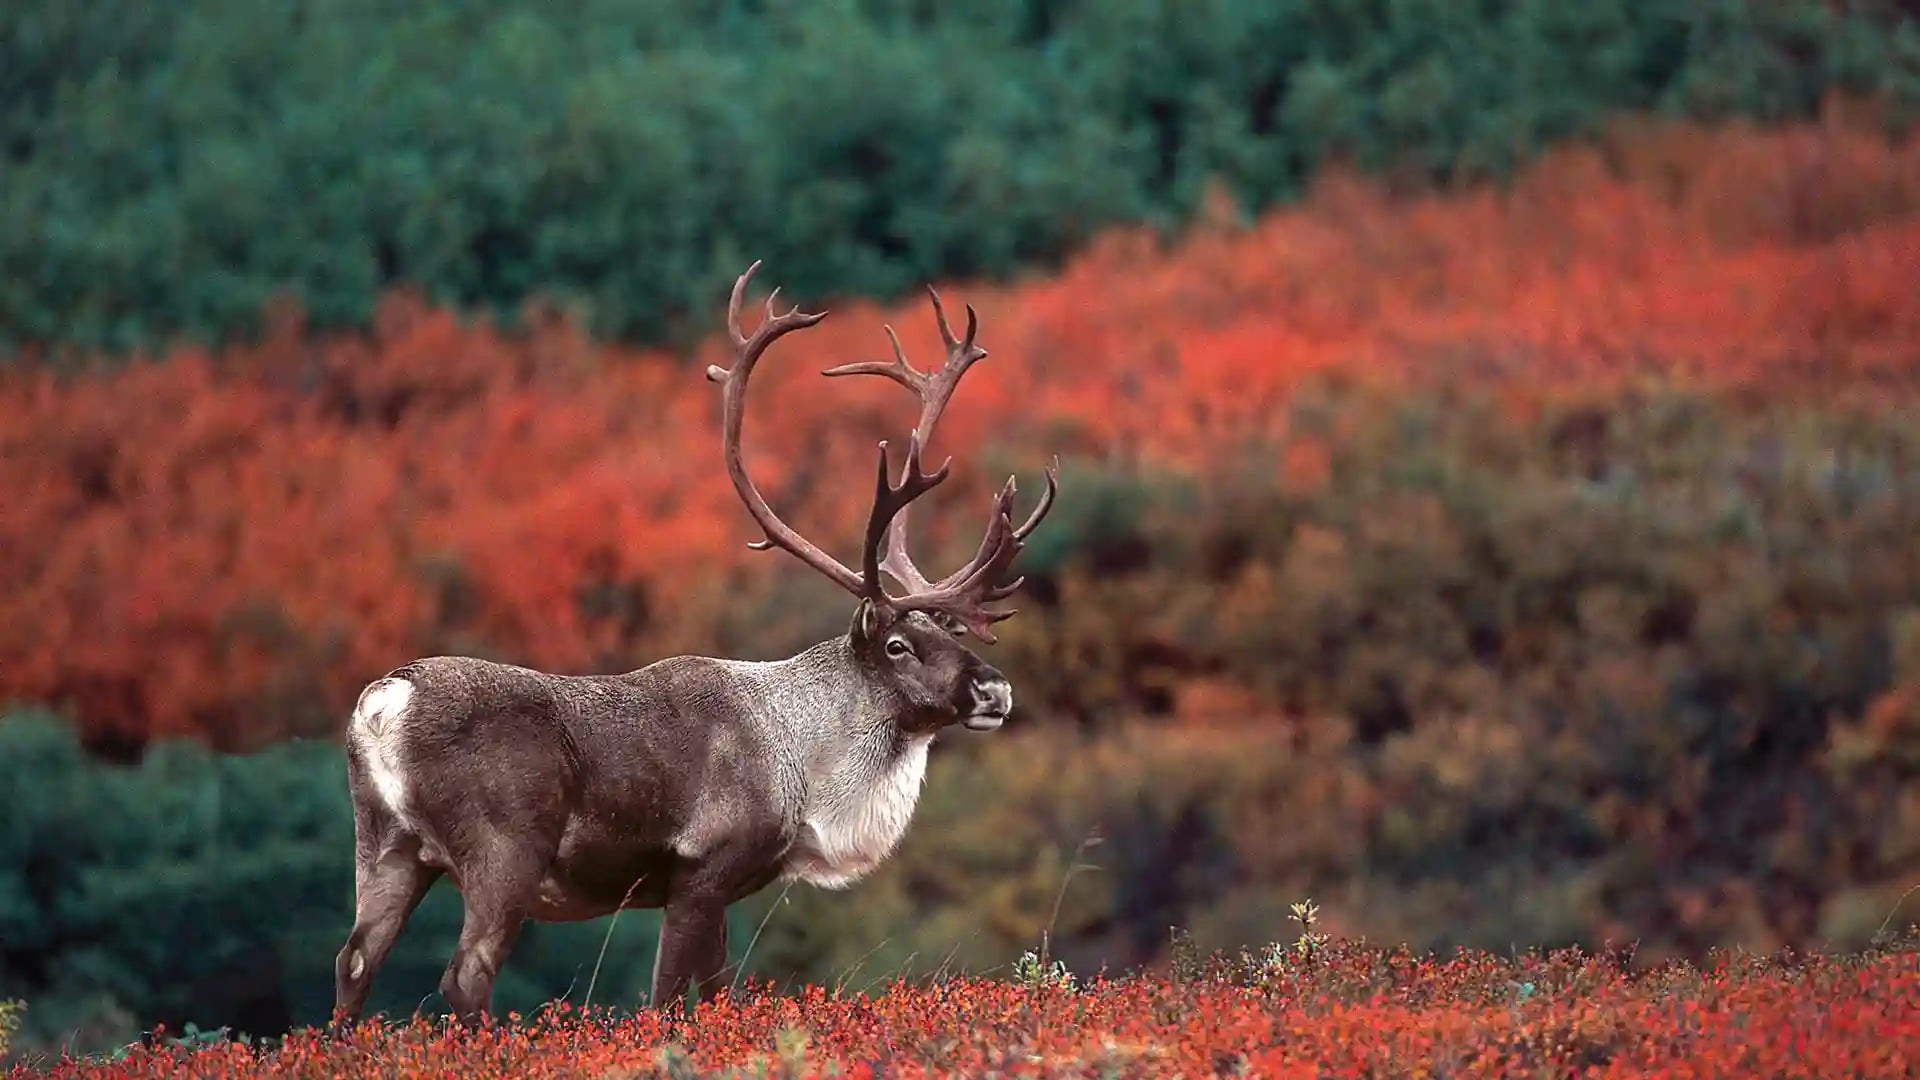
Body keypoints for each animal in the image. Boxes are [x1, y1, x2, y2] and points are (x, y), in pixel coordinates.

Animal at [332, 261, 1058, 1026]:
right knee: (466, 972)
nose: (994, 689)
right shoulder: (700, 873)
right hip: (503, 852)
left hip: (387, 845)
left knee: (355, 961)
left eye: (949, 632)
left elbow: (711, 993)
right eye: (896, 645)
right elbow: (672, 998)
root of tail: (383, 703)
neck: (802, 765)